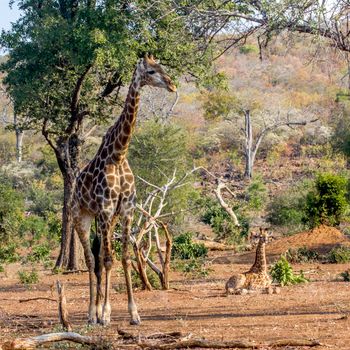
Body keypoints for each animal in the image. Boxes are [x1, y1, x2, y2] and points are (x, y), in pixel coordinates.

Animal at [72, 54, 175, 326]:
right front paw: (106, 314)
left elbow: (126, 258)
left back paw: (97, 311)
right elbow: (109, 260)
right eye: (151, 71)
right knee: (91, 259)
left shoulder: (126, 210)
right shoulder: (106, 209)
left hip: (104, 219)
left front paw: (134, 313)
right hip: (81, 216)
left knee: (98, 257)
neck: (118, 155)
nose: (172, 84)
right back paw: (92, 314)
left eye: (162, 66)